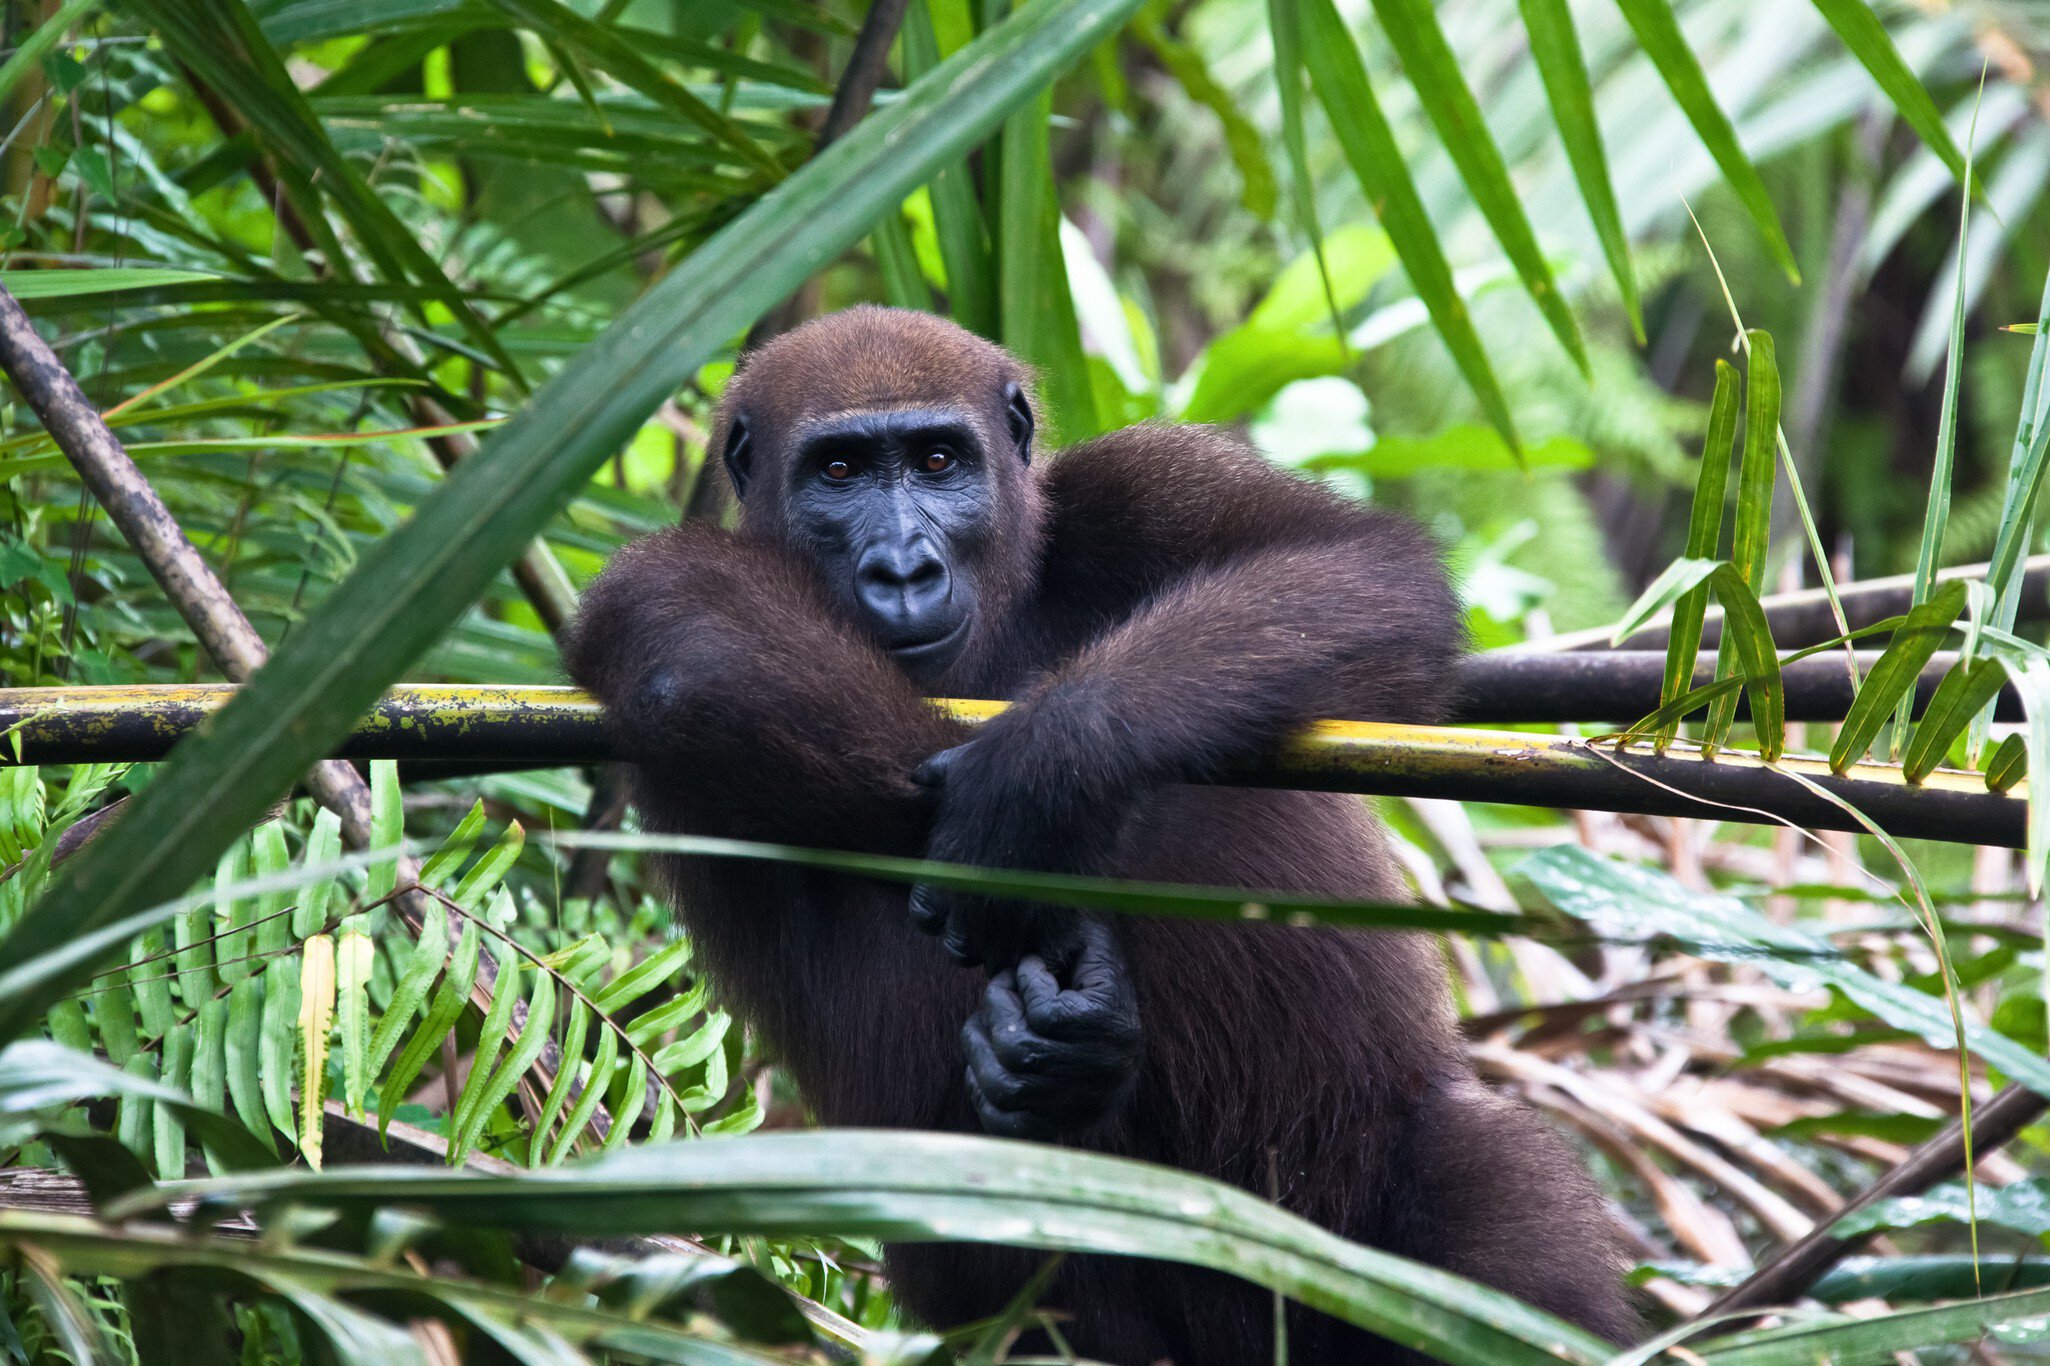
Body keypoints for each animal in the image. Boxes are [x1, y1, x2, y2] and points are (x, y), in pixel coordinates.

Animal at [563, 306, 1636, 1363]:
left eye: (940, 461)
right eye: (838, 473)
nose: (904, 569)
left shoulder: (1139, 484)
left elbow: (1363, 570)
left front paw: (1045, 773)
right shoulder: (654, 577)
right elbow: (693, 648)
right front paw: (1062, 1017)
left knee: (1481, 1195)